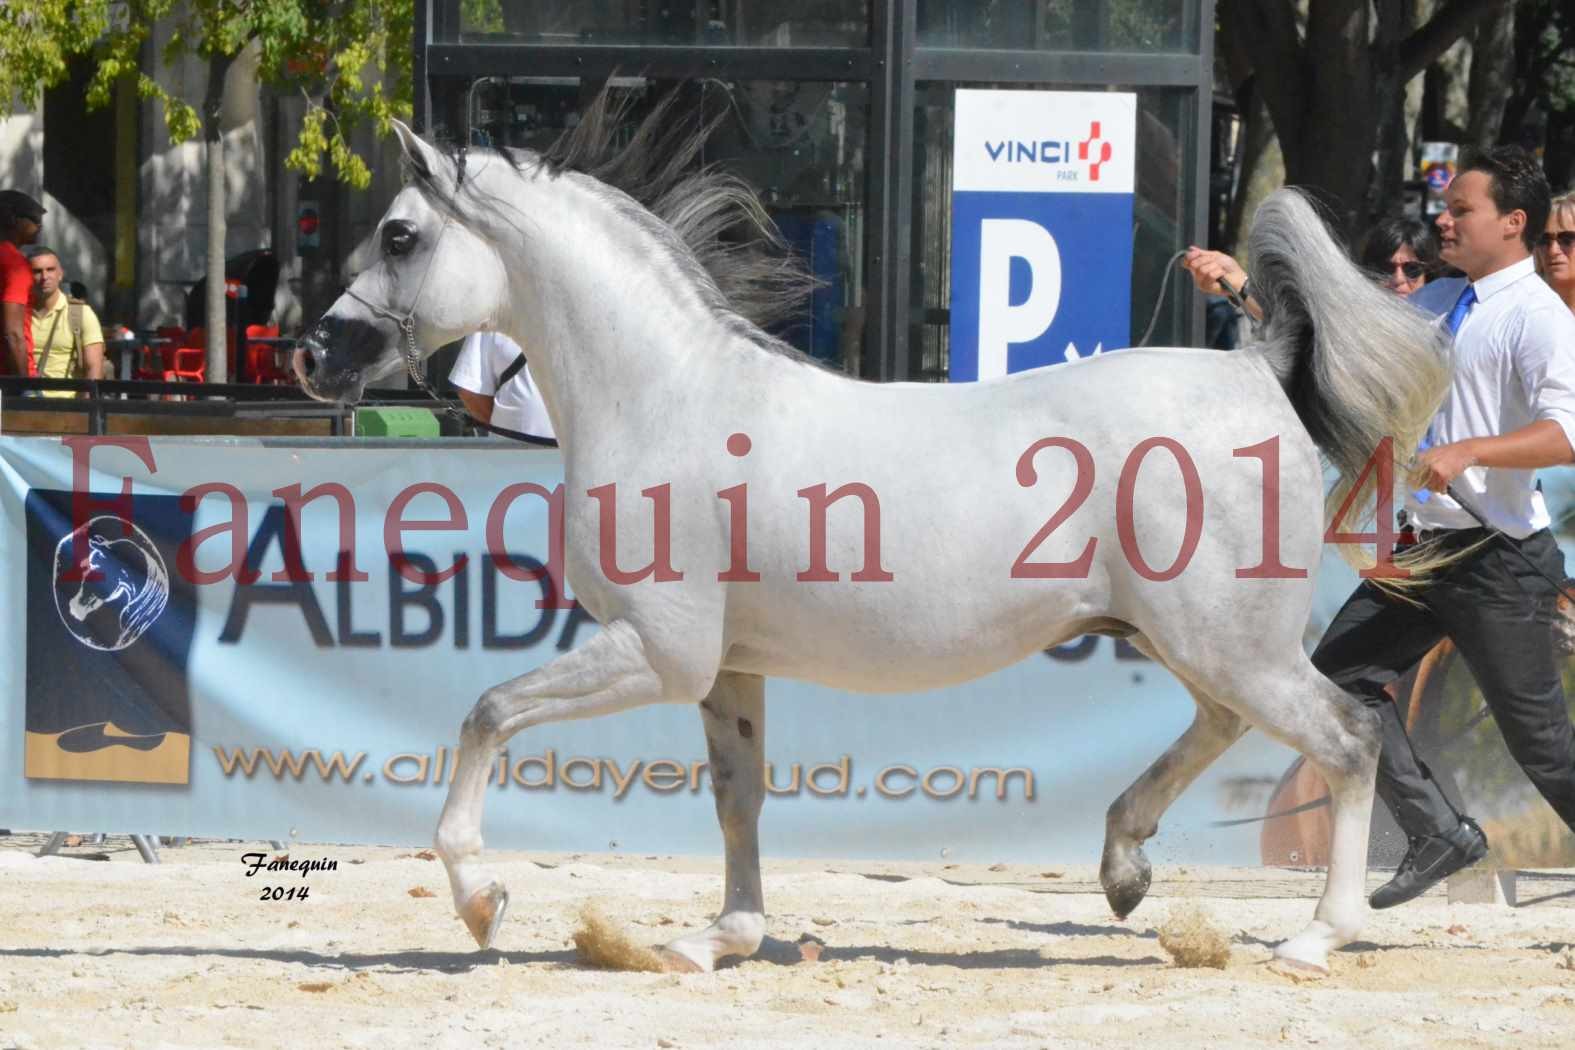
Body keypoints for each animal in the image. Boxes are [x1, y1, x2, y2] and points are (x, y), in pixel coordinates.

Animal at [292, 98, 1449, 976]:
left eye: (400, 235)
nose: (314, 355)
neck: (665, 397)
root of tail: (1257, 368)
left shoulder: (659, 653)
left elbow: (487, 714)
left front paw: (481, 900)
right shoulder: (725, 670)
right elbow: (738, 802)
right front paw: (720, 939)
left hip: (1228, 642)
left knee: (1346, 737)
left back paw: (1314, 937)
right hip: (1191, 640)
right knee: (1223, 728)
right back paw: (1124, 870)